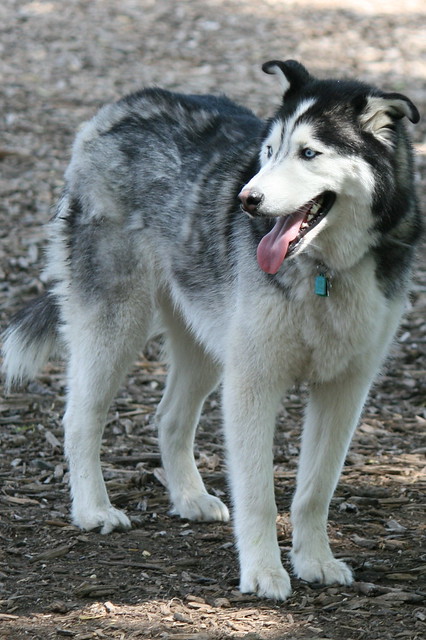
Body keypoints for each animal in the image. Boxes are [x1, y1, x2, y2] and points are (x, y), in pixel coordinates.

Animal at [2, 60, 422, 600]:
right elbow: (259, 494)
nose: (247, 199)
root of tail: (118, 107)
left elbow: (315, 489)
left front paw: (315, 561)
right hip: (116, 326)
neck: (325, 270)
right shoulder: (253, 384)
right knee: (80, 418)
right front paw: (264, 572)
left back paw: (189, 498)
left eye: (309, 153)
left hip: (205, 344)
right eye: (270, 151)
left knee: (169, 418)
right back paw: (93, 510)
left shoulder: (344, 389)